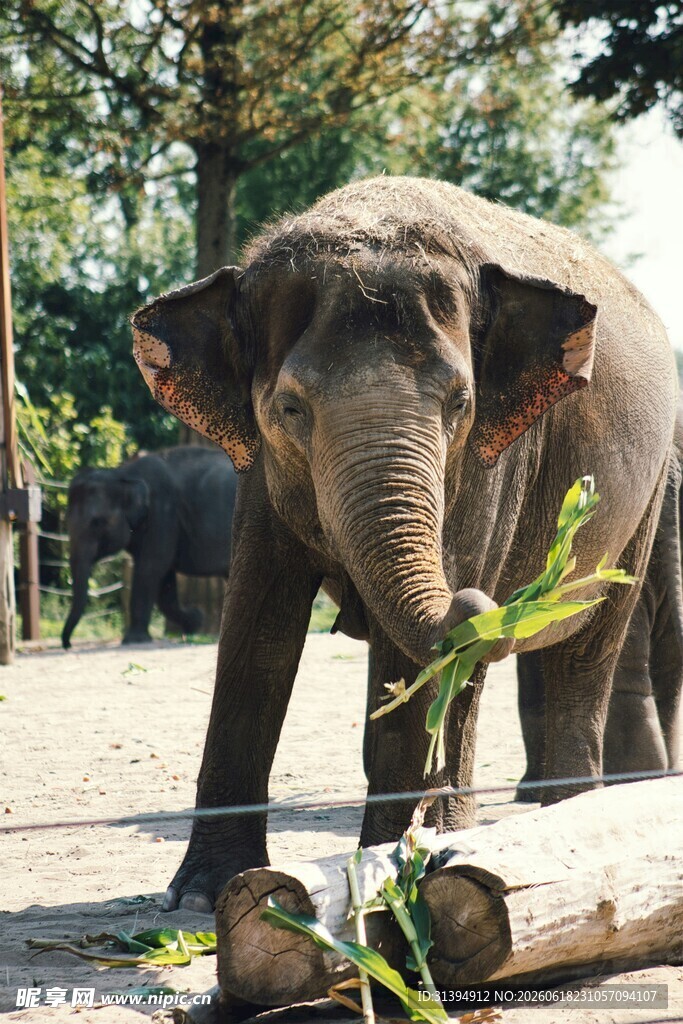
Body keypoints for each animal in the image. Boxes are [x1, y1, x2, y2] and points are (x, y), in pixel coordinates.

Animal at [62, 446, 237, 648]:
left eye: (97, 523)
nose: (68, 645)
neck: (122, 474)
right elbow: (164, 583)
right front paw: (193, 622)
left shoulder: (163, 513)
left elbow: (151, 567)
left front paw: (133, 640)